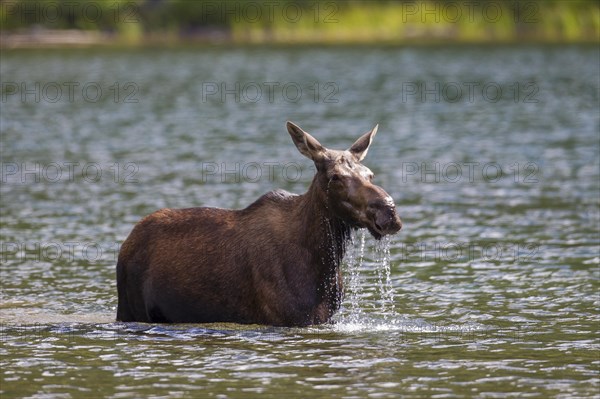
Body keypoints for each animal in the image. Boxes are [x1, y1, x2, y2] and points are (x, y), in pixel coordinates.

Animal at [115, 122, 400, 328]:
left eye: (370, 174)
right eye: (335, 177)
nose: (388, 212)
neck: (322, 264)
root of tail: (127, 242)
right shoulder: (285, 318)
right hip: (130, 308)